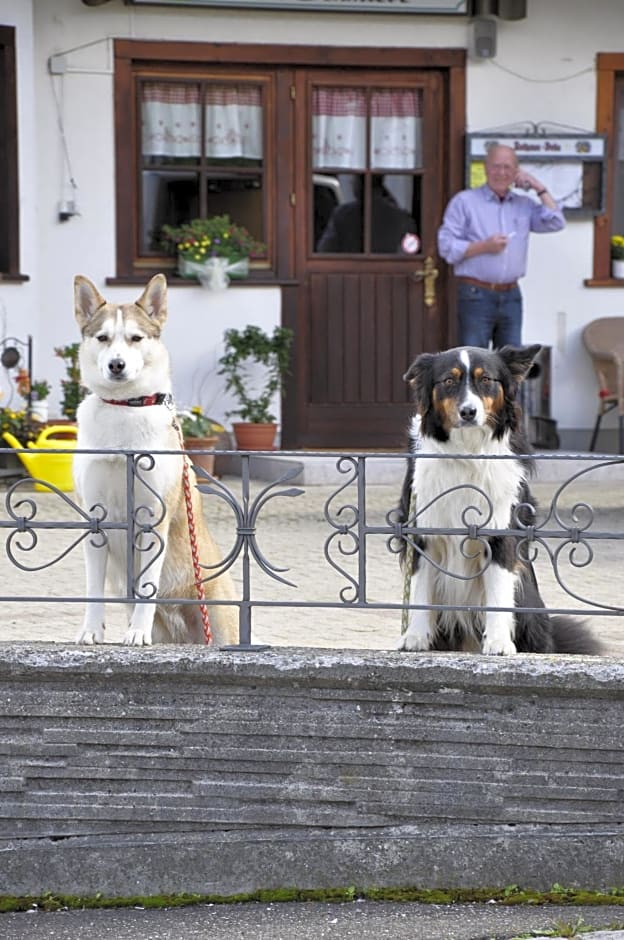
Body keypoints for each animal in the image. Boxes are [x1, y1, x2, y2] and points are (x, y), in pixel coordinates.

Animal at [73, 274, 238, 648]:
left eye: (136, 338)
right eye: (103, 338)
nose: (116, 364)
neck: (124, 408)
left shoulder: (153, 518)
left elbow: (147, 589)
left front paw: (136, 632)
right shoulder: (95, 519)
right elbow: (92, 589)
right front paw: (91, 630)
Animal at [398, 342, 604, 656]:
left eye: (485, 379)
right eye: (448, 381)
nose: (468, 412)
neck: (469, 452)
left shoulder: (500, 533)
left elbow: (497, 595)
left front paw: (498, 643)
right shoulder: (422, 530)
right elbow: (420, 591)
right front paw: (415, 638)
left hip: (528, 601)